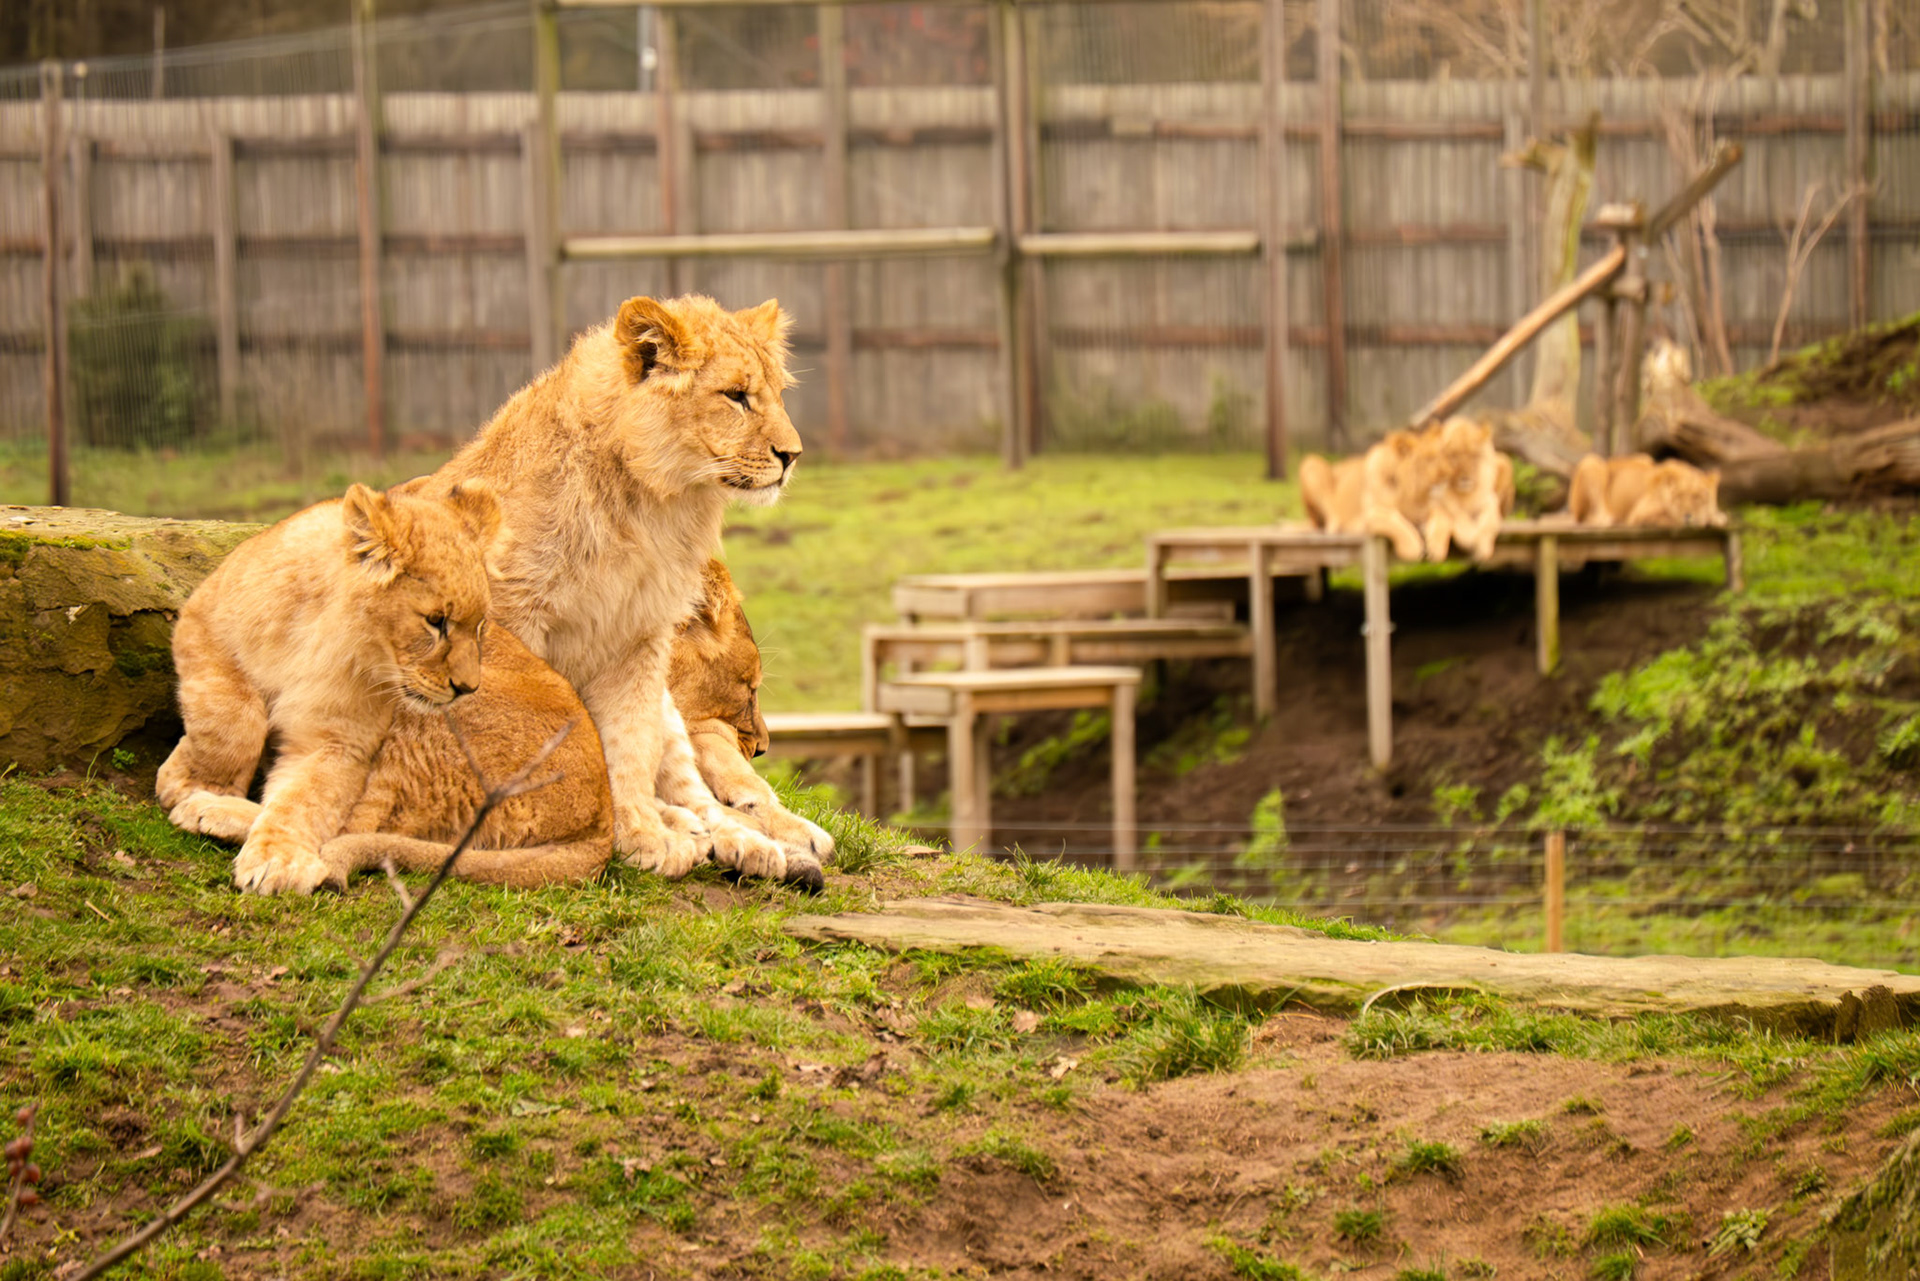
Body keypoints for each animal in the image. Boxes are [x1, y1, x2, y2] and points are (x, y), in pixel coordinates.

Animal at [400, 294, 806, 885]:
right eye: (735, 395)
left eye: (777, 393)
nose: (792, 455)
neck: (646, 504)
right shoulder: (512, 616)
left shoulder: (638, 637)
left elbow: (628, 743)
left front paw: (639, 837)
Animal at [1567, 453, 1726, 528]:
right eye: (1679, 496)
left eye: (1697, 496)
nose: (1688, 516)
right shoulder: (1639, 513)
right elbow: (1669, 518)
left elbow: (1717, 515)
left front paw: (1715, 518)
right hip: (1592, 462)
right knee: (1585, 518)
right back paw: (1611, 520)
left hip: (1644, 457)